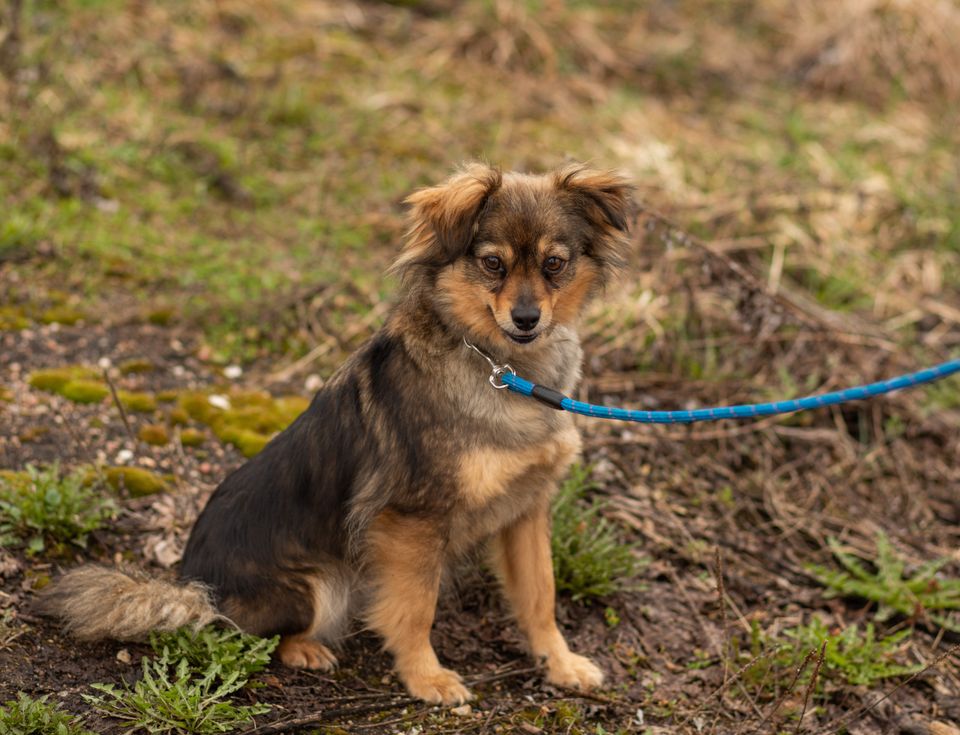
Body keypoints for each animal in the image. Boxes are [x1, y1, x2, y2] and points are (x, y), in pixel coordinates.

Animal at [41, 164, 632, 704]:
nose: (527, 318)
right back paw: (305, 649)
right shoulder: (412, 520)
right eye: (492, 263)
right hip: (317, 584)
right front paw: (426, 678)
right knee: (250, 634)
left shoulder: (526, 510)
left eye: (555, 265)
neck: (503, 367)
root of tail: (193, 587)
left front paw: (559, 663)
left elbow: (540, 595)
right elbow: (416, 609)